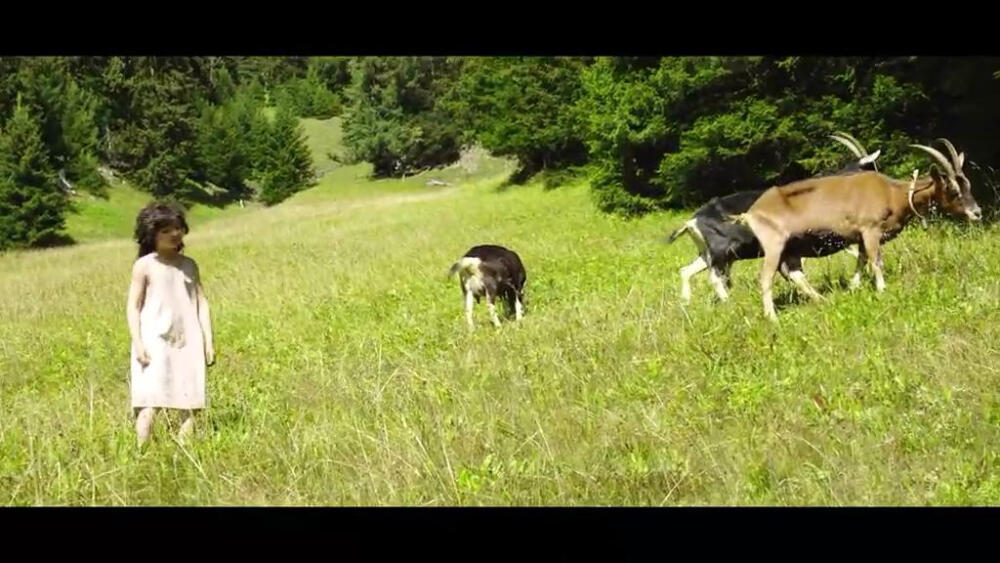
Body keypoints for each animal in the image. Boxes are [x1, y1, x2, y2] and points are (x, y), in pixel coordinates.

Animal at [668, 133, 880, 304]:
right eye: (871, 167)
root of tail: (692, 221)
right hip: (722, 251)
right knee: (714, 278)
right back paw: (729, 303)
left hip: (708, 254)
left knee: (686, 271)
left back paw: (687, 301)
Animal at [736, 140, 984, 322]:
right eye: (952, 189)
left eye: (967, 185)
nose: (977, 213)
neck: (893, 192)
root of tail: (751, 212)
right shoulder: (870, 230)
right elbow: (875, 261)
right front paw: (882, 290)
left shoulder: (862, 236)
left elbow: (862, 260)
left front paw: (853, 288)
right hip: (774, 245)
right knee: (766, 277)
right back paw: (772, 317)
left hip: (790, 247)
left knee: (794, 273)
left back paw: (822, 300)